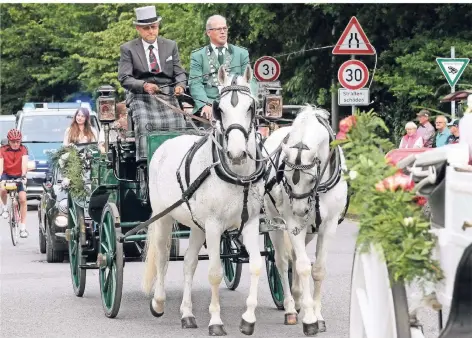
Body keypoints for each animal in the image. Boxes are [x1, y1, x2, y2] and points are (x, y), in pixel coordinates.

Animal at [143, 65, 266, 336]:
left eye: (251, 107)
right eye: (219, 108)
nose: (237, 153)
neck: (237, 175)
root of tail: (167, 142)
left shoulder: (250, 222)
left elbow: (256, 265)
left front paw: (248, 319)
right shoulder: (214, 225)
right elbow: (214, 273)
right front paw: (216, 322)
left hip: (196, 225)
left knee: (188, 263)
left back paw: (187, 314)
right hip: (164, 216)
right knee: (162, 256)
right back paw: (158, 302)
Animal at [264, 106, 348, 336]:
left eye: (311, 178)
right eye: (285, 175)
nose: (300, 210)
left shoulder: (327, 226)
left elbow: (318, 269)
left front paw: (317, 316)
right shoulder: (292, 224)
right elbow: (302, 267)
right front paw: (309, 319)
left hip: (309, 229)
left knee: (292, 257)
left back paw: (298, 297)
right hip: (274, 222)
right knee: (282, 262)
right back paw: (291, 308)